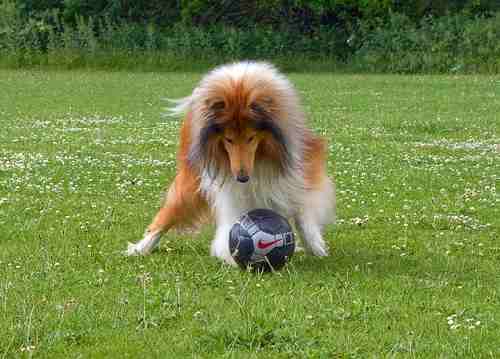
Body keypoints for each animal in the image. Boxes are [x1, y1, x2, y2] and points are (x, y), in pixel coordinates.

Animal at [126, 61, 336, 264]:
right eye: (228, 139)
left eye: (251, 137)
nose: (242, 177)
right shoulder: (229, 185)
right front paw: (229, 253)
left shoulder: (300, 168)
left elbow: (301, 208)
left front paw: (315, 245)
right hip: (192, 178)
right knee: (168, 212)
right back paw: (142, 247)